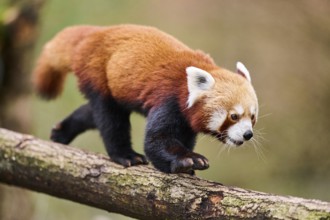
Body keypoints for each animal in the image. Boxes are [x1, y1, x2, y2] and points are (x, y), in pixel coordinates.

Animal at [34, 24, 260, 174]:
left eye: (252, 117)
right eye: (233, 116)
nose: (248, 134)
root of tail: (96, 32)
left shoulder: (186, 119)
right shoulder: (169, 100)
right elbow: (156, 140)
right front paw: (187, 160)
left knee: (93, 113)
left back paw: (62, 131)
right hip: (99, 72)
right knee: (110, 119)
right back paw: (126, 155)